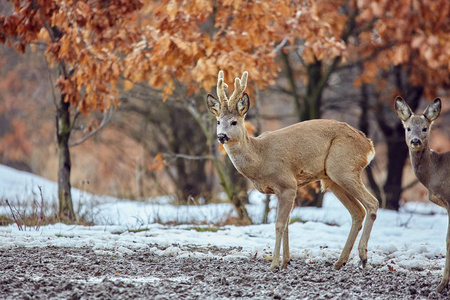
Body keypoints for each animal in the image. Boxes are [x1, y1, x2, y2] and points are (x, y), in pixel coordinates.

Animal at [207, 71, 380, 270]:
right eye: (218, 121)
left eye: (234, 122)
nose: (221, 136)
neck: (260, 158)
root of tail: (369, 145)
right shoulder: (279, 190)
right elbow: (288, 224)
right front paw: (286, 261)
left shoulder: (287, 183)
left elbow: (279, 224)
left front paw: (275, 264)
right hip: (332, 178)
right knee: (357, 212)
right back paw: (340, 261)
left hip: (343, 168)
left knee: (372, 203)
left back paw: (363, 257)